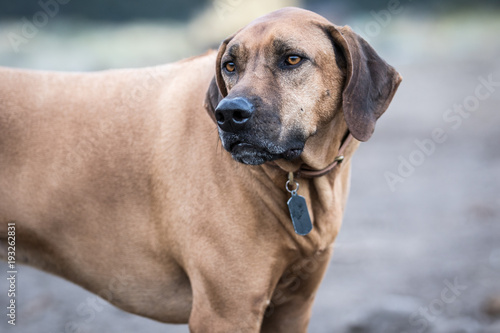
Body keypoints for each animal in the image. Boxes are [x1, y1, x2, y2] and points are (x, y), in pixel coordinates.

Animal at [0, 6, 400, 330]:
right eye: (230, 65)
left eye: (291, 59)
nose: (229, 114)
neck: (290, 176)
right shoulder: (226, 312)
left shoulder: (293, 309)